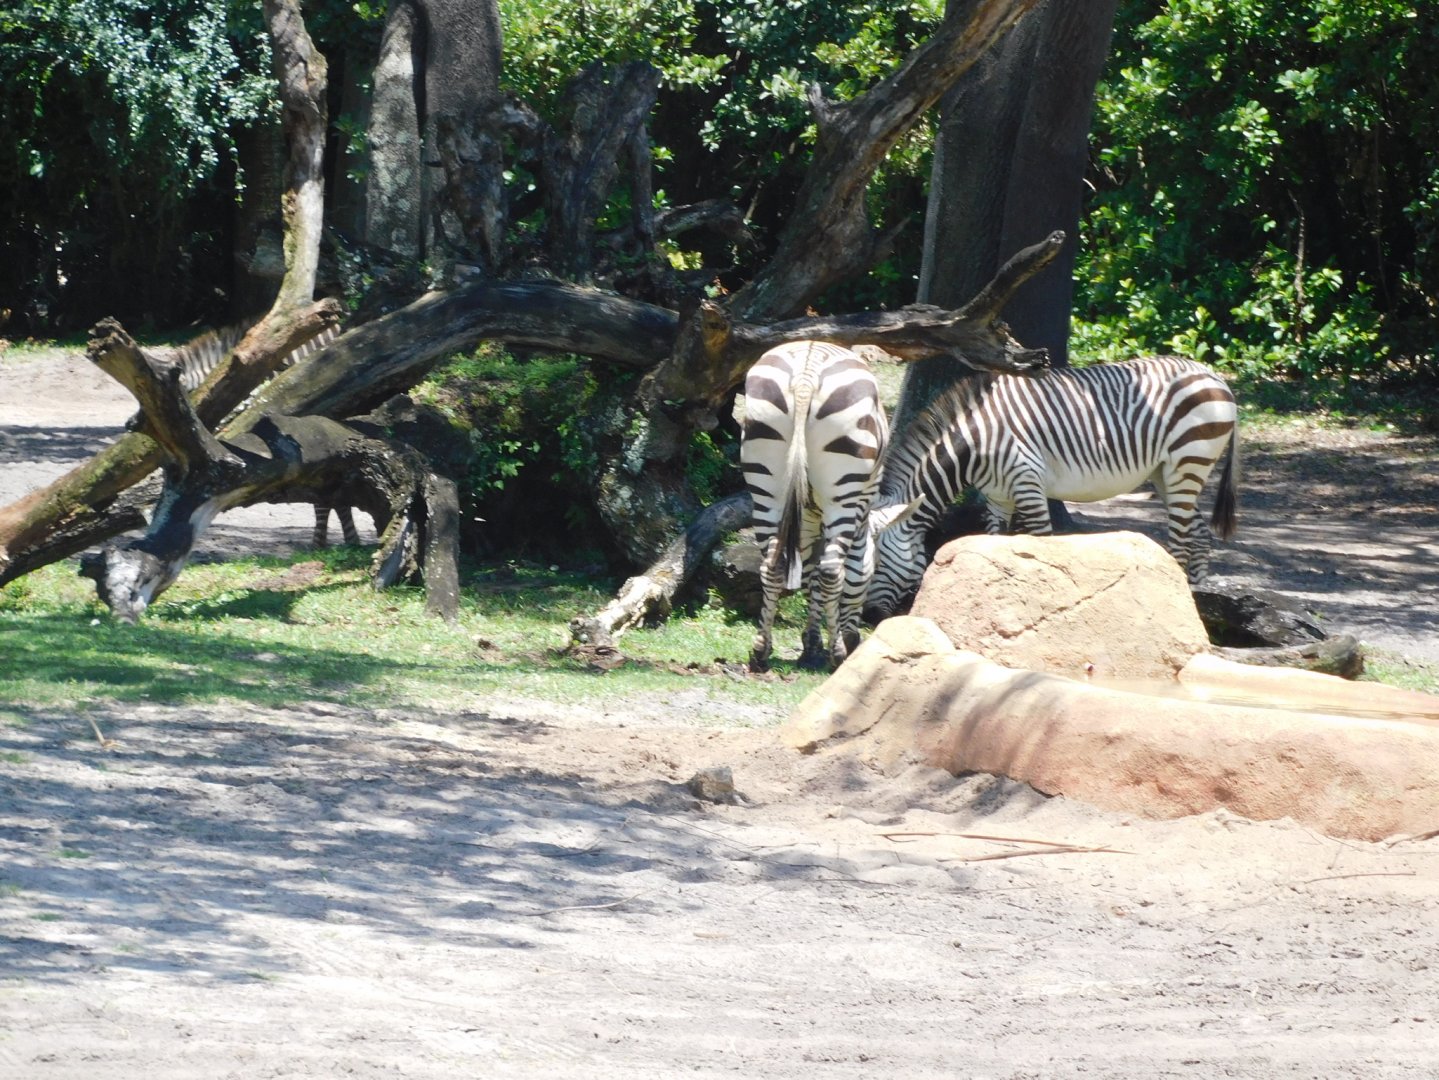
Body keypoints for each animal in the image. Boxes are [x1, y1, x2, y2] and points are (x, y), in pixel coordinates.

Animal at [740, 341, 890, 672]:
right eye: (874, 573)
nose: (856, 641)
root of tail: (805, 375)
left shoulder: (807, 514)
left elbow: (808, 572)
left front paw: (810, 644)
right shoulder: (860, 505)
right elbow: (839, 570)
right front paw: (825, 646)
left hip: (766, 482)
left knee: (773, 566)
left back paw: (760, 651)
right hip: (843, 489)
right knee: (832, 570)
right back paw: (837, 654)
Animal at [864, 355, 1239, 618]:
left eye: (878, 564)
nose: (868, 618)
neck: (973, 445)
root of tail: (1213, 375)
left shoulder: (1027, 482)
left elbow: (1041, 546)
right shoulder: (998, 498)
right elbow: (992, 547)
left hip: (1188, 460)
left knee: (1180, 542)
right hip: (1166, 473)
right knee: (1199, 533)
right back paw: (1191, 603)